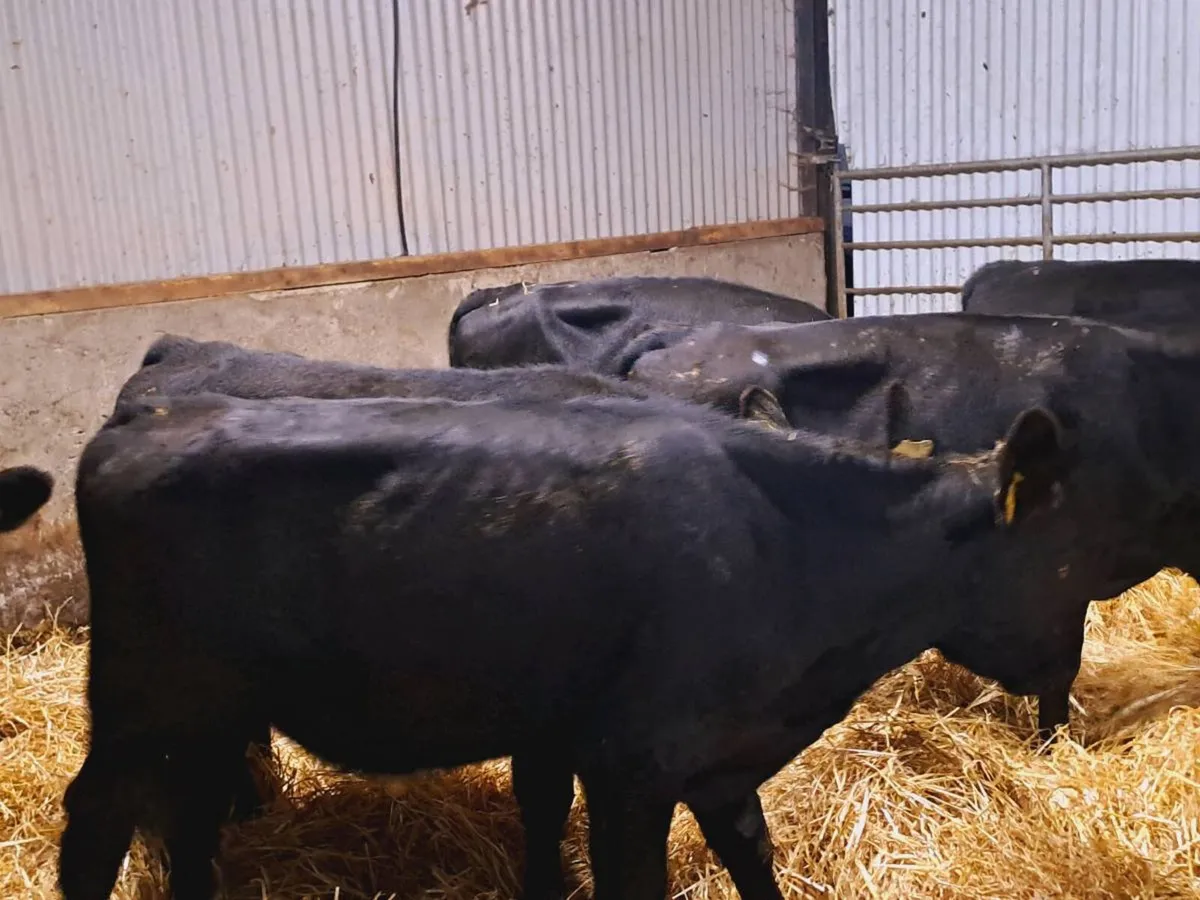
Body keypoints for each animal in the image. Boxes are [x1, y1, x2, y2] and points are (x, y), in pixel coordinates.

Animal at [60, 391, 1071, 900]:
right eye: (1058, 558)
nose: (1067, 675)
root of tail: (132, 429)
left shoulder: (717, 755)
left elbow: (752, 855)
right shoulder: (633, 759)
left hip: (204, 716)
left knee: (186, 822)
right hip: (146, 697)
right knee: (98, 820)